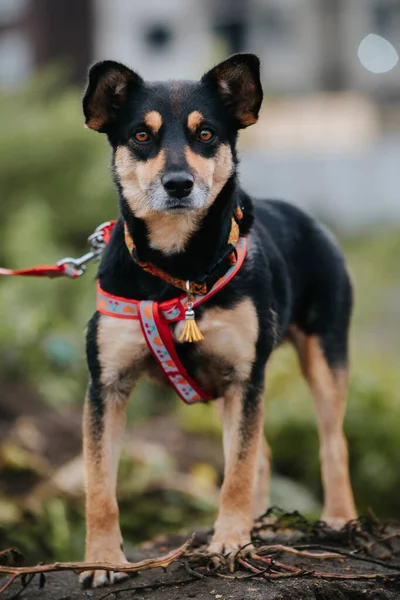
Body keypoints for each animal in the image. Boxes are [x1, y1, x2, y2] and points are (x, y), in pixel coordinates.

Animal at [79, 52, 356, 584]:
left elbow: (238, 471)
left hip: (326, 354)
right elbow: (99, 484)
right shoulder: (107, 383)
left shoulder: (243, 377)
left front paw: (230, 541)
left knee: (332, 443)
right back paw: (262, 521)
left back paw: (338, 518)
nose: (179, 184)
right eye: (140, 135)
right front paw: (102, 559)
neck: (178, 271)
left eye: (205, 132)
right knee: (264, 454)